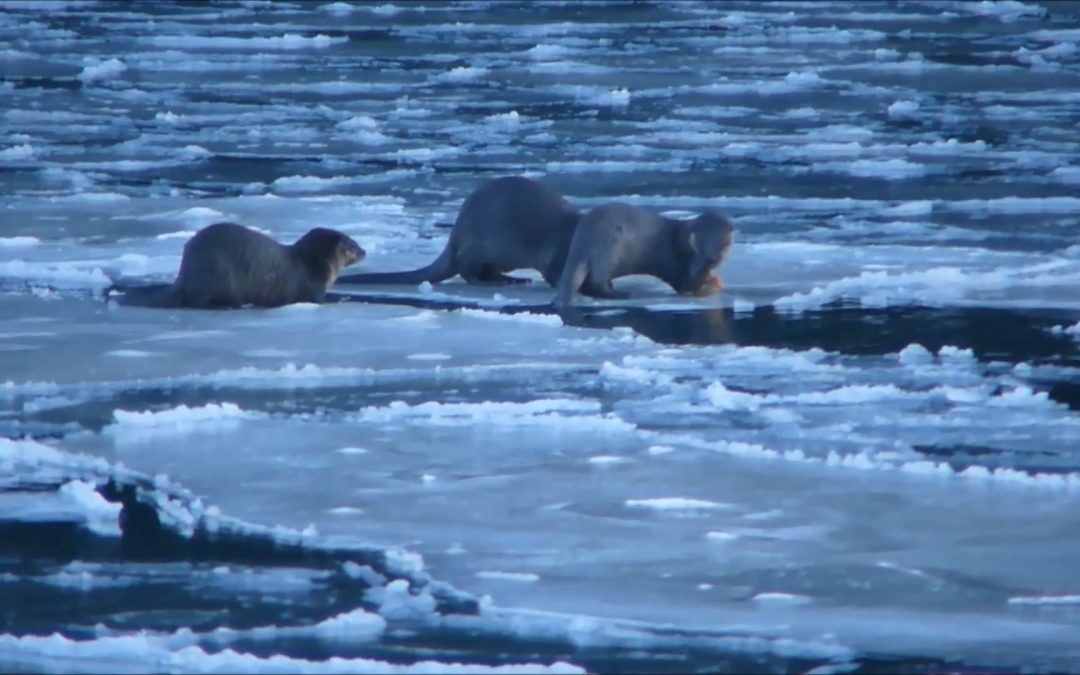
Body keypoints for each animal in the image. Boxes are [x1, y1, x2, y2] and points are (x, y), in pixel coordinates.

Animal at [110, 222, 365, 309]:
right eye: (353, 244)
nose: (364, 251)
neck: (310, 264)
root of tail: (184, 274)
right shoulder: (312, 288)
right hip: (217, 272)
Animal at [336, 176, 579, 287]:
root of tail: (455, 237)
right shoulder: (561, 250)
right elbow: (555, 273)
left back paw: (514, 280)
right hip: (480, 245)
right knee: (467, 270)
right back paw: (495, 282)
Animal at [553, 203, 733, 308]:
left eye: (725, 244)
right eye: (702, 244)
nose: (714, 259)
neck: (680, 241)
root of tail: (581, 244)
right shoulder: (676, 266)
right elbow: (685, 283)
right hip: (608, 251)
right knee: (596, 283)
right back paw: (622, 294)